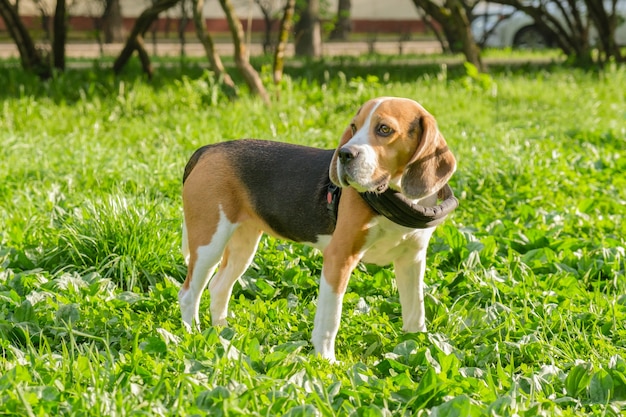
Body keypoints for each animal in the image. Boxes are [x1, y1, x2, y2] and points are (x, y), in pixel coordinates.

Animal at [178, 96, 456, 360]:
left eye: (384, 129)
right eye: (353, 127)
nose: (344, 154)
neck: (392, 196)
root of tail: (210, 149)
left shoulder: (413, 260)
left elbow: (415, 310)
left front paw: (417, 347)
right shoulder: (339, 258)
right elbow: (330, 318)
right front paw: (326, 359)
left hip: (243, 246)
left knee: (218, 286)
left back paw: (222, 333)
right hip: (209, 243)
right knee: (189, 293)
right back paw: (195, 335)